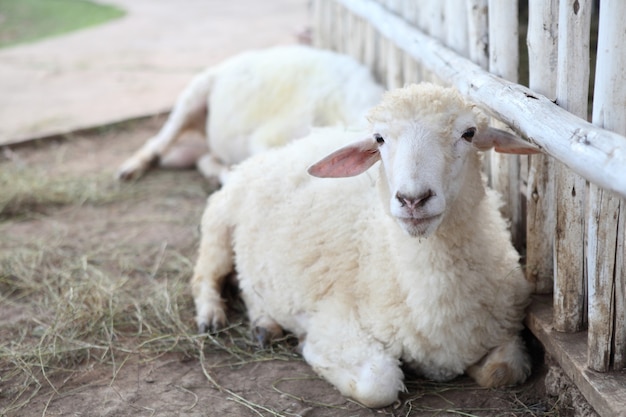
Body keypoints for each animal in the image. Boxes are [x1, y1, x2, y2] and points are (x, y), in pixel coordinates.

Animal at [190, 82, 536, 406]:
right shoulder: (337, 321)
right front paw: (308, 347)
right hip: (219, 220)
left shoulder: (503, 325)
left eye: (469, 133)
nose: (413, 199)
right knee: (205, 275)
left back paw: (264, 324)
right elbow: (378, 385)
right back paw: (211, 316)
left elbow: (503, 372)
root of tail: (284, 148)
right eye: (379, 139)